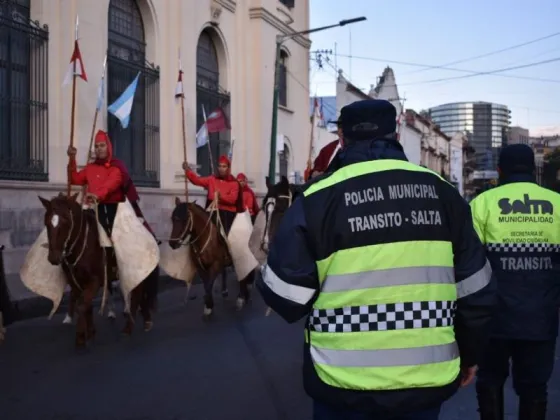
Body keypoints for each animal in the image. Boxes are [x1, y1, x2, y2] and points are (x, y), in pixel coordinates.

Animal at [38, 194, 158, 348]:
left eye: (66, 221)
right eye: (46, 222)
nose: (54, 257)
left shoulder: (94, 281)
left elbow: (82, 306)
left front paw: (81, 337)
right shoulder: (76, 283)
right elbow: (85, 305)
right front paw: (90, 333)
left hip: (135, 270)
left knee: (137, 294)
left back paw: (129, 327)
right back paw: (143, 320)